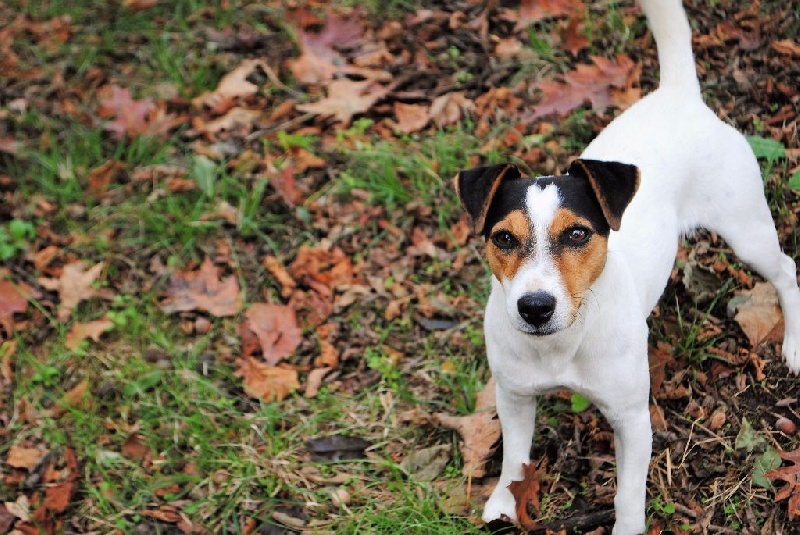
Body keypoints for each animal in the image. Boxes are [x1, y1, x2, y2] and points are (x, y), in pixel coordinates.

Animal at [456, 1, 800, 532]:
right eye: (503, 238)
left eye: (577, 234)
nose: (535, 307)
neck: (564, 343)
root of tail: (678, 95)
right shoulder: (514, 398)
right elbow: (515, 456)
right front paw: (502, 502)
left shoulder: (633, 421)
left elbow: (627, 495)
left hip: (747, 230)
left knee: (785, 269)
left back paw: (794, 343)